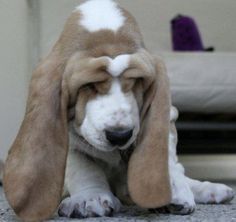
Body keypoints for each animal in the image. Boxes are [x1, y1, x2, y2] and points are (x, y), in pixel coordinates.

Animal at [2, 0, 235, 221]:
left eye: (136, 81)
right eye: (89, 85)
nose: (119, 135)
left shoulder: (168, 115)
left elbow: (167, 155)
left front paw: (173, 189)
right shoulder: (67, 135)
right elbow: (82, 165)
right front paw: (90, 198)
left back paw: (210, 189)